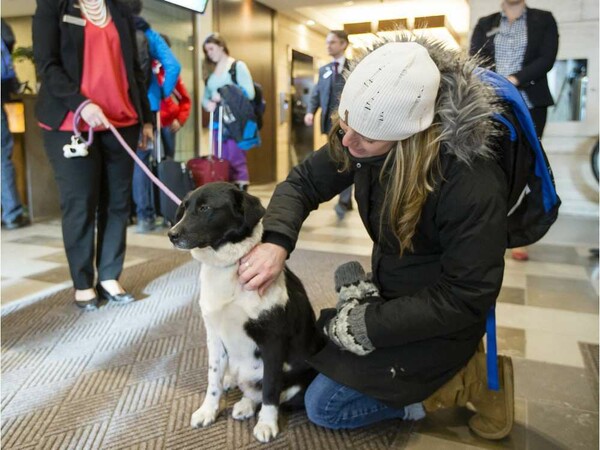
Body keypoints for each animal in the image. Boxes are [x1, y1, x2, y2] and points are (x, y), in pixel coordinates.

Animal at [169, 183, 322, 442]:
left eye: (205, 208)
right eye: (184, 207)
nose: (171, 234)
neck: (228, 268)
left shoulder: (273, 342)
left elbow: (271, 389)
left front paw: (267, 424)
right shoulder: (214, 337)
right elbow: (213, 380)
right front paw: (208, 411)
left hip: (298, 383)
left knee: (271, 393)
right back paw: (242, 401)